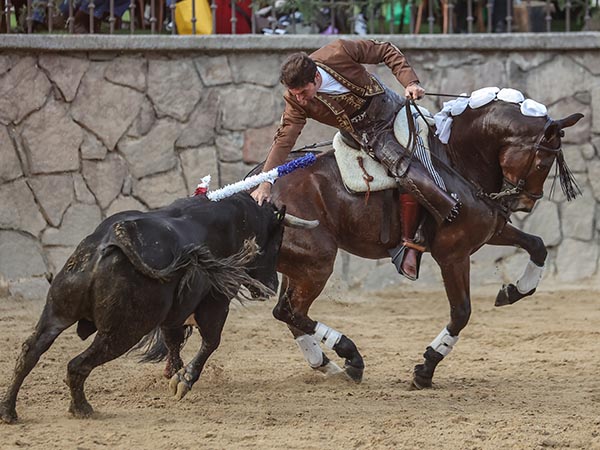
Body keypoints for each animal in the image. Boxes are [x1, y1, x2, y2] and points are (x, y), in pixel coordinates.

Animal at [0, 193, 316, 422]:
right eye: (277, 241)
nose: (270, 285)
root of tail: (114, 235)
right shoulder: (216, 301)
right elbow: (210, 341)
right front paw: (185, 380)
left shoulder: (173, 314)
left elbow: (173, 341)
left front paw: (174, 375)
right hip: (123, 331)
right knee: (77, 364)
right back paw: (82, 409)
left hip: (57, 311)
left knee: (30, 351)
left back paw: (9, 411)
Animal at [264, 100, 584, 388]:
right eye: (542, 162)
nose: (525, 204)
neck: (458, 161)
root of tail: (260, 192)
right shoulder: (453, 255)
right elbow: (461, 312)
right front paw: (426, 369)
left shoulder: (489, 231)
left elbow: (537, 245)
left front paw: (514, 290)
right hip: (317, 263)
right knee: (290, 312)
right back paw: (351, 358)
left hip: (300, 266)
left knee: (287, 312)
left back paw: (328, 365)